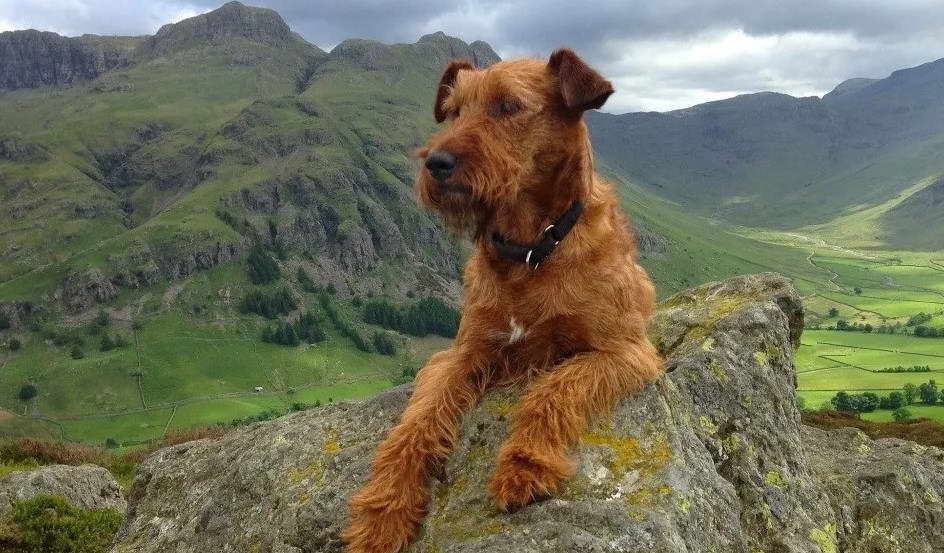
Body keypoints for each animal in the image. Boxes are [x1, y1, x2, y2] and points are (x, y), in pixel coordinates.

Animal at [342, 48, 664, 552]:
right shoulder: (462, 352)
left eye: (509, 106)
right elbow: (415, 422)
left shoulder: (624, 350)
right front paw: (383, 510)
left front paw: (525, 464)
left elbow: (553, 390)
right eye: (454, 111)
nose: (436, 163)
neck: (530, 251)